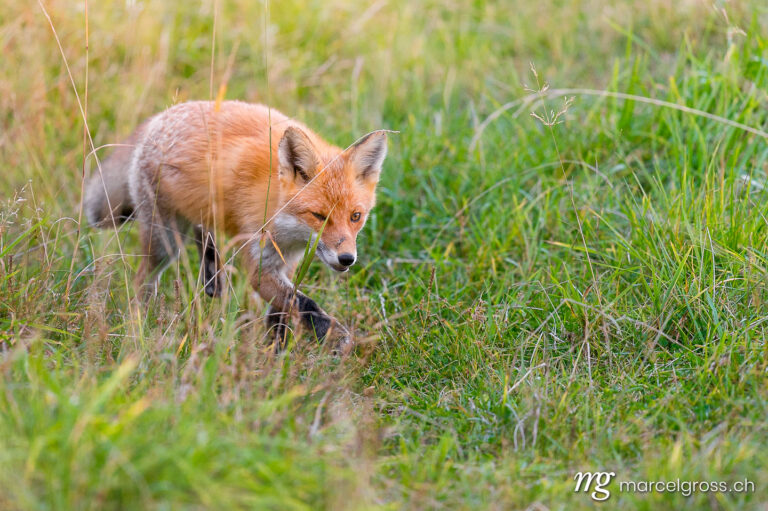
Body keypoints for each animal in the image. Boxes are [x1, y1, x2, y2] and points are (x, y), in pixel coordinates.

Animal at [85, 100, 388, 348]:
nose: (347, 259)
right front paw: (338, 337)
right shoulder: (260, 265)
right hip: (165, 242)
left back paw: (211, 279)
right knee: (142, 282)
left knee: (203, 236)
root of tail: (160, 117)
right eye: (319, 216)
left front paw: (274, 354)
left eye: (356, 216)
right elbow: (305, 305)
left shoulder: (286, 261)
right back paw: (138, 328)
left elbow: (282, 313)